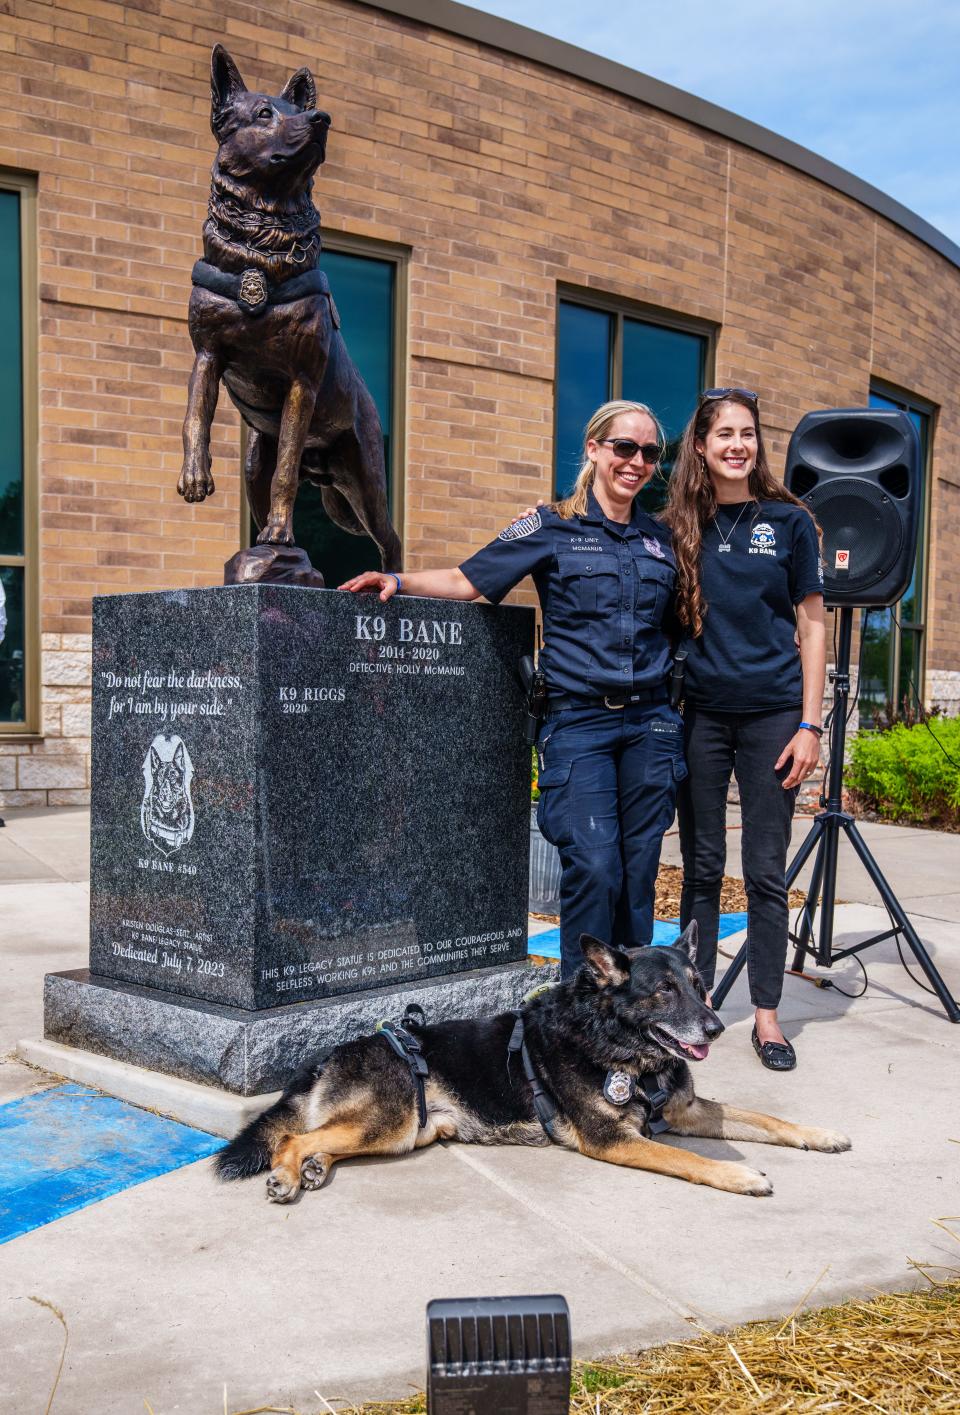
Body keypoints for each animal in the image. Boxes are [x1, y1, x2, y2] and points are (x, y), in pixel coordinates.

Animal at [180, 49, 402, 568]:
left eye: (300, 111)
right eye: (264, 113)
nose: (321, 119)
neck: (260, 251)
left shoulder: (302, 379)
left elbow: (285, 472)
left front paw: (283, 531)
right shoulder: (208, 355)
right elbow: (194, 417)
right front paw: (195, 476)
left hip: (364, 479)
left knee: (390, 537)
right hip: (254, 460)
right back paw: (261, 556)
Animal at [216, 928, 849, 1205]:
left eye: (699, 986)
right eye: (664, 992)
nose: (715, 1028)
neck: (616, 1044)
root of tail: (330, 1053)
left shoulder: (688, 1110)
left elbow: (764, 1118)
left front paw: (820, 1134)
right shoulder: (614, 1140)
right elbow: (686, 1159)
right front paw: (740, 1176)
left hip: (407, 1133)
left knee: (319, 1138)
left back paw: (313, 1169)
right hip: (392, 1124)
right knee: (291, 1139)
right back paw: (288, 1175)